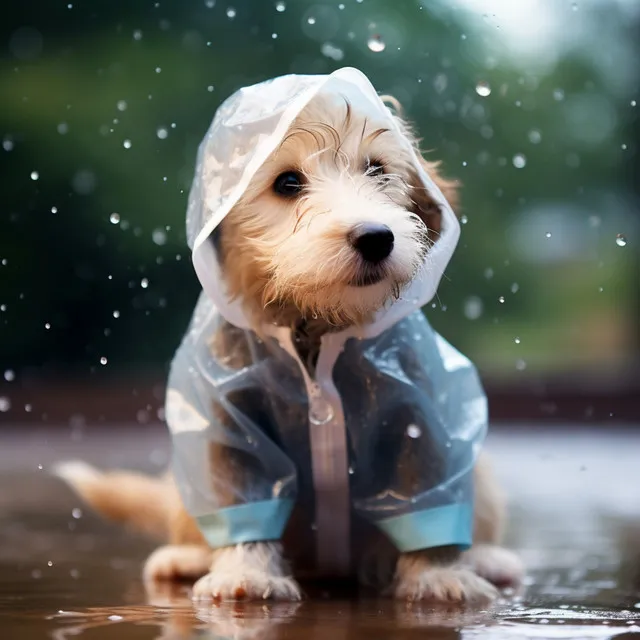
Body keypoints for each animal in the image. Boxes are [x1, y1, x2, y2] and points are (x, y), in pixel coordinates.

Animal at [56, 76, 524, 604]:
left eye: (377, 170)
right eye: (287, 183)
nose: (376, 237)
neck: (315, 329)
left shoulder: (417, 411)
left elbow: (424, 489)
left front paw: (437, 574)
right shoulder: (228, 419)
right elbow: (243, 495)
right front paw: (246, 571)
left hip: (480, 472)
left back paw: (488, 558)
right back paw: (186, 558)